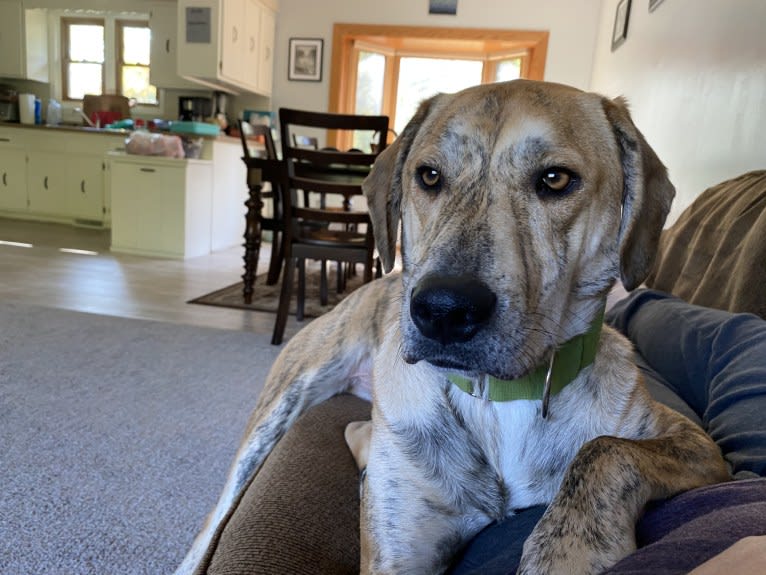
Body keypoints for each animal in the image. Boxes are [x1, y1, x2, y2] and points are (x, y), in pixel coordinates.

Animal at [178, 81, 732, 575]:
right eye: (428, 176)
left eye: (556, 179)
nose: (442, 310)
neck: (502, 400)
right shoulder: (397, 556)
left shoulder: (696, 445)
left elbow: (607, 450)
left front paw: (570, 550)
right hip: (284, 400)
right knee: (218, 512)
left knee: (358, 429)